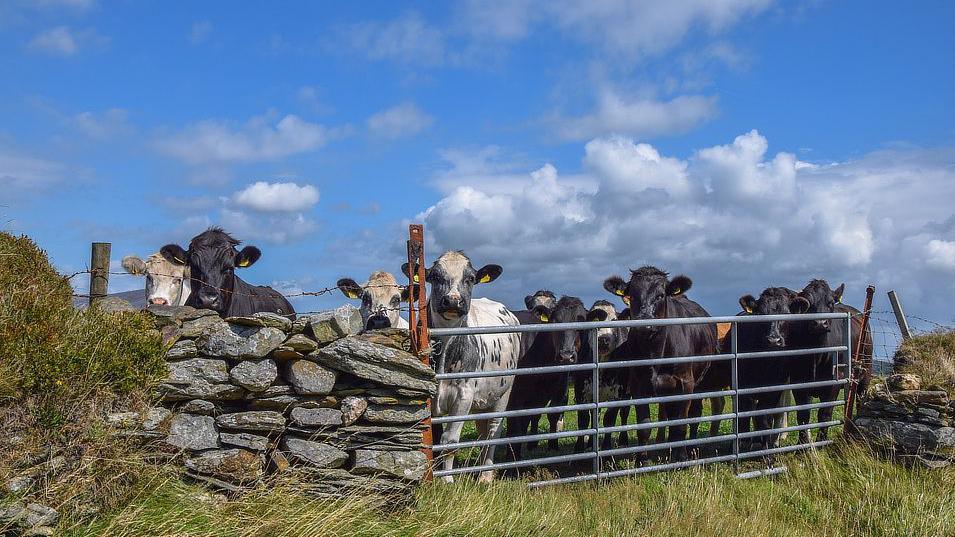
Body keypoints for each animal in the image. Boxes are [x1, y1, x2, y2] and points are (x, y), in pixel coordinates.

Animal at [404, 251, 524, 482]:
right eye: (435, 277)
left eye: (470, 278)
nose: (453, 300)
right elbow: (433, 439)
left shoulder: (463, 397)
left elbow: (450, 441)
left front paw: (447, 480)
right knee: (483, 430)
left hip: (503, 392)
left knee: (493, 431)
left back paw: (486, 475)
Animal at [604, 266, 716, 458]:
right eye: (631, 295)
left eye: (661, 295)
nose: (645, 324)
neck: (655, 351)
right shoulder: (638, 385)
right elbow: (644, 428)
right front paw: (641, 461)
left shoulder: (686, 382)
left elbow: (681, 425)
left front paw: (680, 458)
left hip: (697, 382)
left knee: (692, 414)